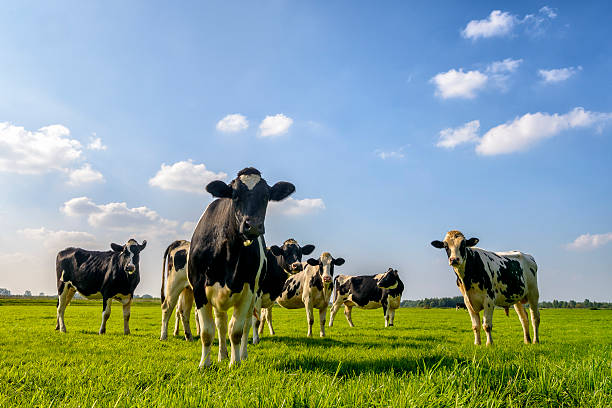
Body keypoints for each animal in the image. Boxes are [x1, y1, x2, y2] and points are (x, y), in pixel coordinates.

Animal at [188, 167, 296, 368]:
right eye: (235, 195)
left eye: (266, 196)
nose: (252, 225)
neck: (228, 251)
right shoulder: (199, 288)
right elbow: (207, 332)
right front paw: (204, 365)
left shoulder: (248, 290)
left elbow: (236, 331)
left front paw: (235, 363)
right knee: (221, 325)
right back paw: (222, 355)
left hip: (253, 297)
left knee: (245, 325)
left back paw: (241, 355)